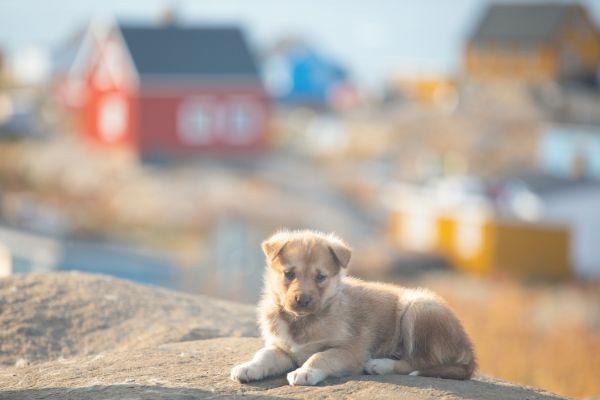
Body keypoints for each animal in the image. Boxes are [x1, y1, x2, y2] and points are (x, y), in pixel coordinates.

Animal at [231, 230, 478, 386]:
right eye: (289, 274)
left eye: (320, 277)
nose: (302, 300)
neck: (301, 321)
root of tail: (469, 351)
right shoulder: (282, 348)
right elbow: (263, 355)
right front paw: (247, 367)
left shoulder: (351, 350)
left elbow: (321, 356)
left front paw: (305, 371)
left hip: (419, 309)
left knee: (420, 363)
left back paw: (380, 365)